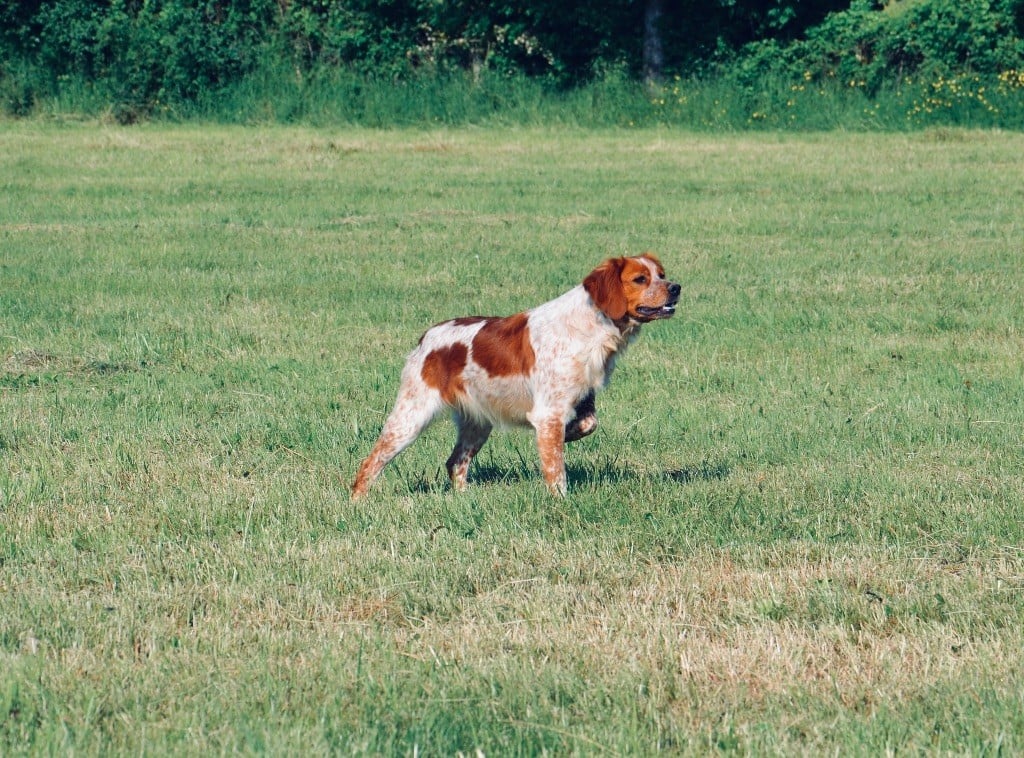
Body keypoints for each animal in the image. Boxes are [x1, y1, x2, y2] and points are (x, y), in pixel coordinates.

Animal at [352, 256, 679, 497]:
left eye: (661, 274)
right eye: (640, 279)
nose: (676, 287)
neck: (593, 324)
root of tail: (426, 338)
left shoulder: (580, 399)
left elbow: (587, 425)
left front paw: (570, 434)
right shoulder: (549, 413)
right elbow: (555, 469)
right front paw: (560, 500)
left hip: (477, 423)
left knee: (455, 462)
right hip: (411, 418)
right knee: (370, 462)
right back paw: (359, 503)